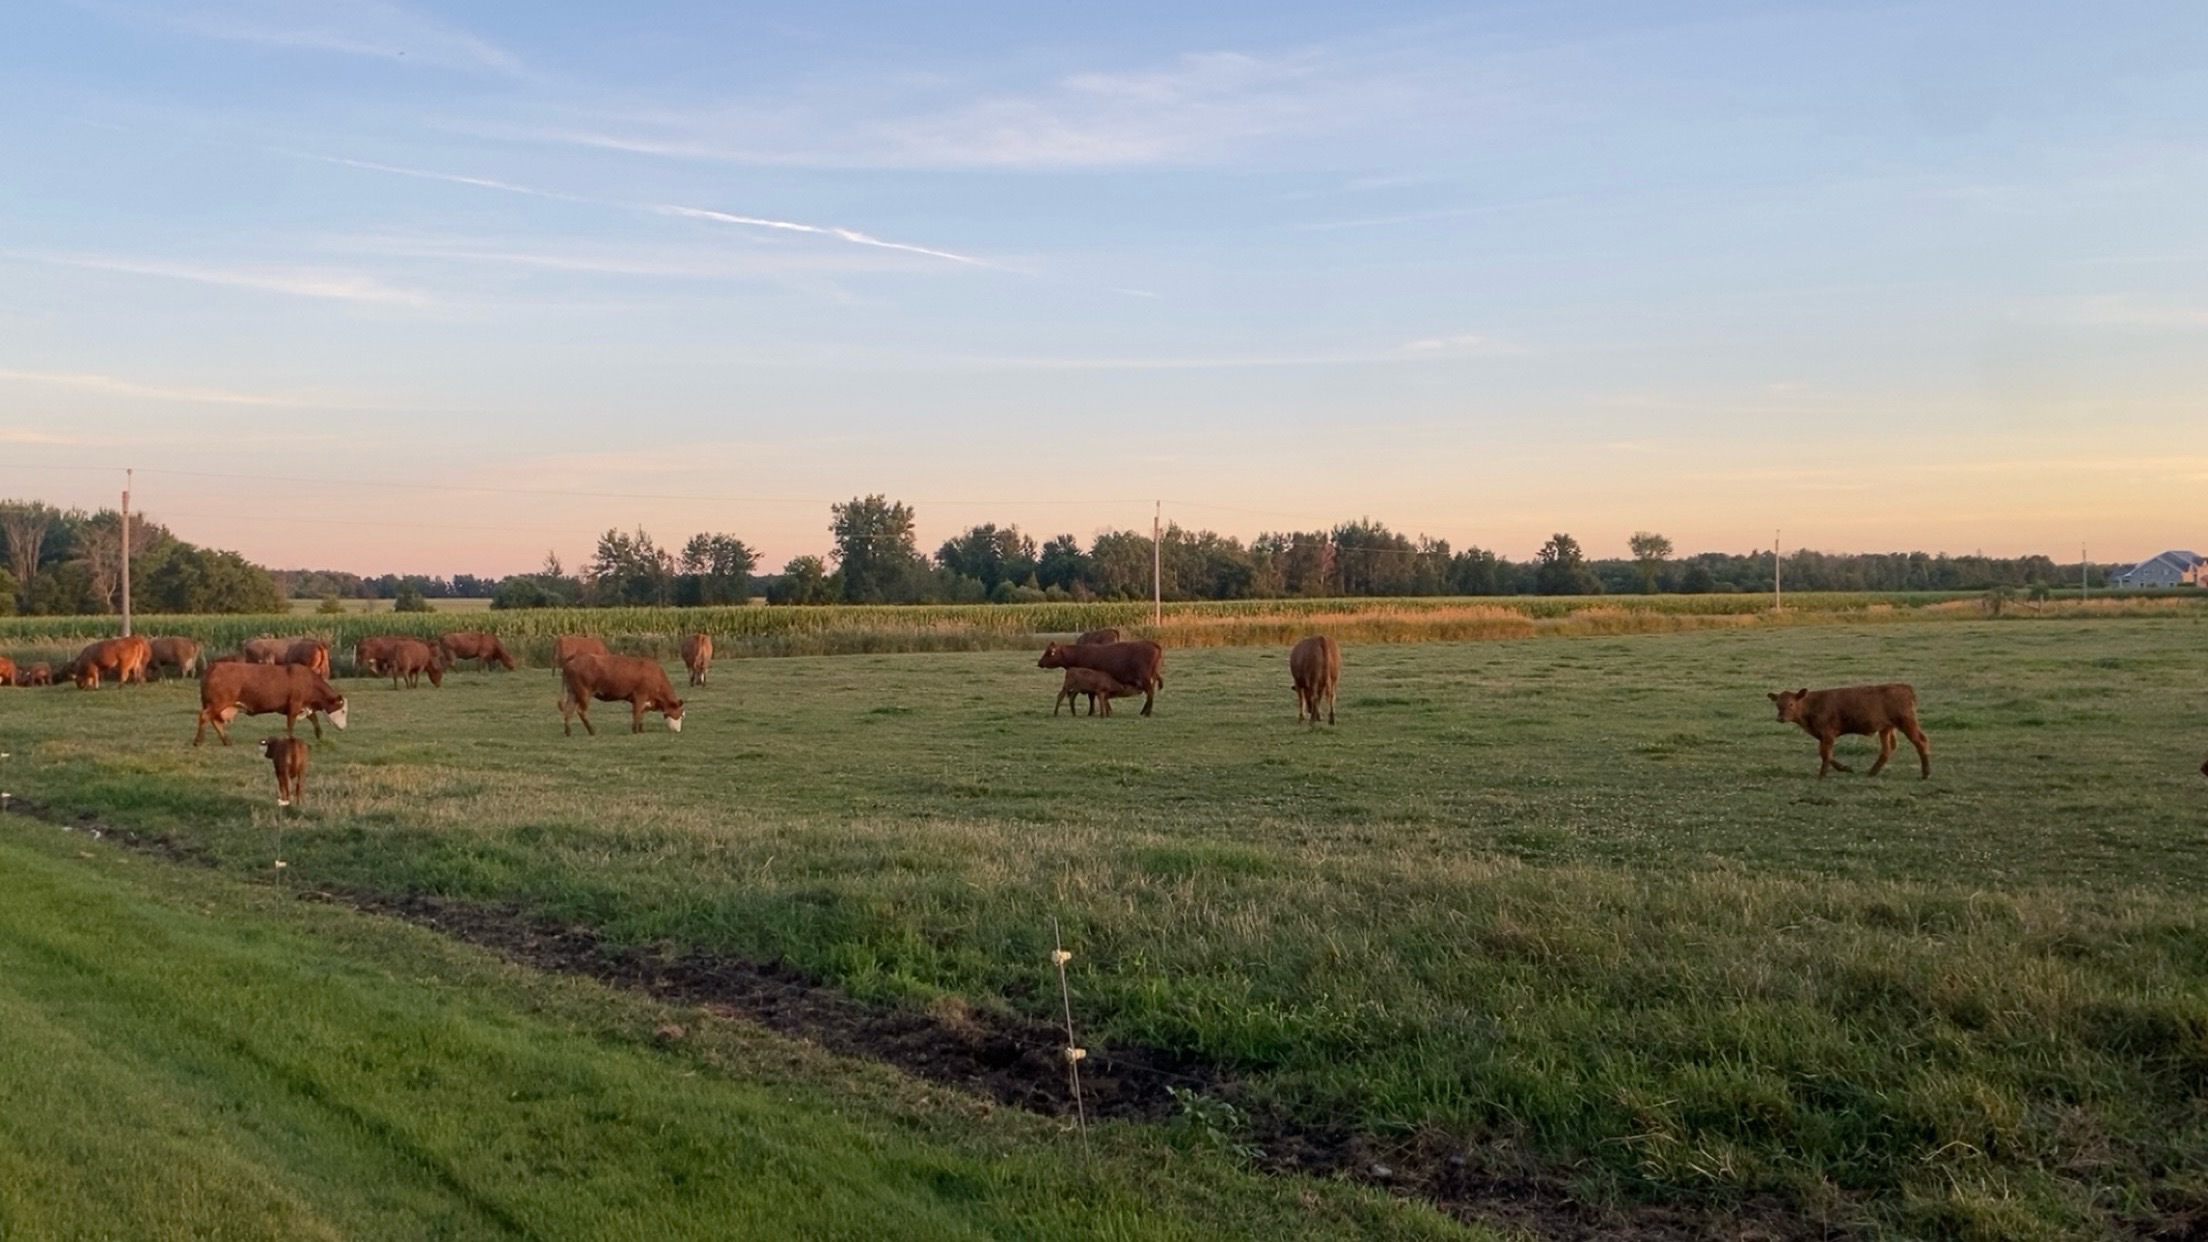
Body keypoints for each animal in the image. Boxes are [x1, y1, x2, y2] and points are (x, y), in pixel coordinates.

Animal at [194, 662, 349, 747]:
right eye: (343, 711)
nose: (343, 728)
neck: (308, 682)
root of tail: (214, 666)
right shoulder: (294, 706)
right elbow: (290, 725)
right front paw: (290, 740)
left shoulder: (305, 707)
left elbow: (314, 721)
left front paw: (320, 736)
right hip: (217, 703)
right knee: (204, 716)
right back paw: (198, 741)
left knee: (215, 721)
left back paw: (226, 741)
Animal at [1768, 684, 1931, 779]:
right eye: (1777, 704)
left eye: (1791, 703)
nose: (1780, 718)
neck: (1811, 704)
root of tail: (1903, 687)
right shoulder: (1822, 735)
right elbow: (1826, 753)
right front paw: (1845, 768)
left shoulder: (1828, 733)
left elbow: (1826, 754)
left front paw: (1823, 775)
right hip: (1886, 728)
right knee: (1887, 749)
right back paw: (1871, 772)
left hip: (1907, 723)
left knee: (1921, 742)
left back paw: (1925, 773)